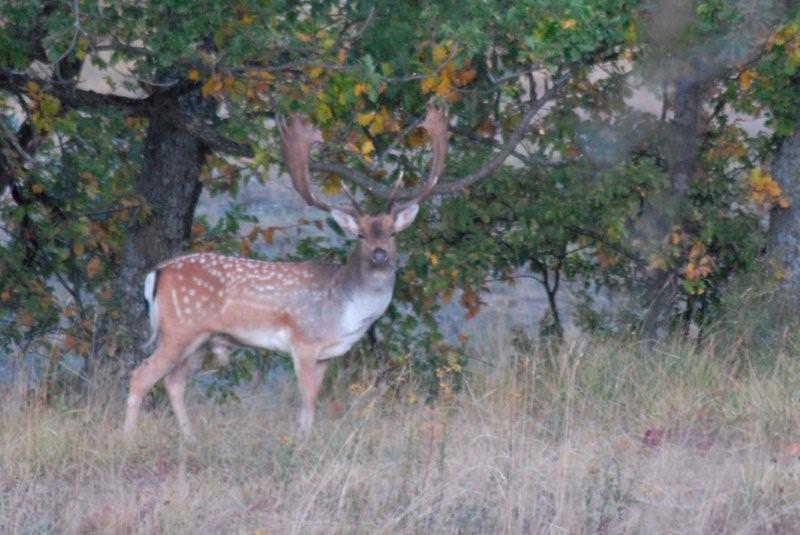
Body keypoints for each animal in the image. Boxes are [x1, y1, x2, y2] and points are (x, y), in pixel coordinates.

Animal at [122, 101, 446, 440]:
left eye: (393, 234)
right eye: (360, 235)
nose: (380, 255)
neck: (345, 308)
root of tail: (155, 273)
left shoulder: (326, 354)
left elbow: (313, 397)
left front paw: (304, 437)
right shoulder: (303, 341)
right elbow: (306, 397)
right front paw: (304, 441)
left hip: (202, 339)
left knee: (174, 381)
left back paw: (191, 439)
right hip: (178, 329)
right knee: (141, 375)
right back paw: (129, 438)